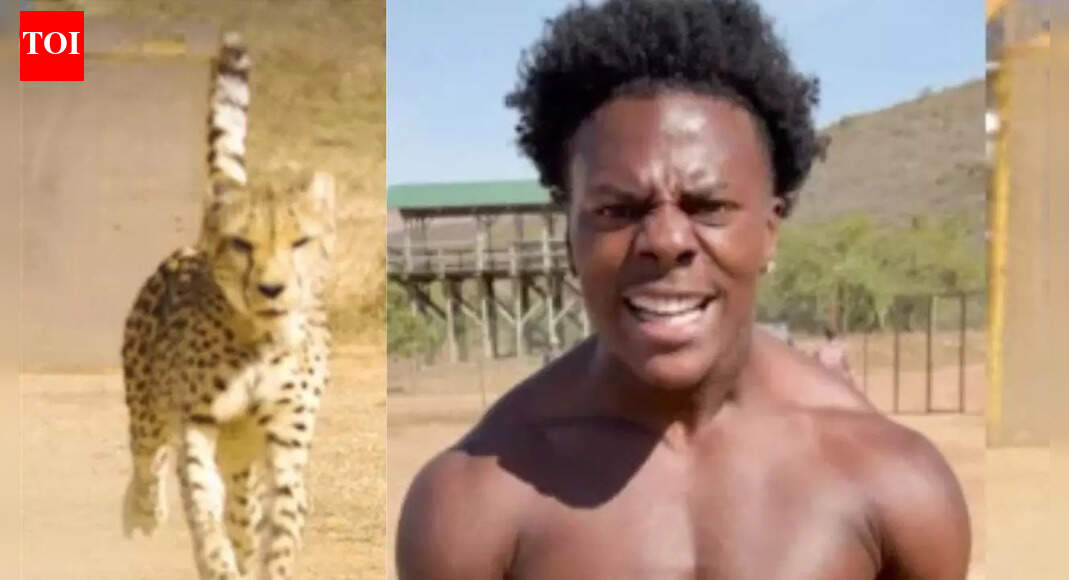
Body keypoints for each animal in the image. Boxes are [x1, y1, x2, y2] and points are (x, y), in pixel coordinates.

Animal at [120, 30, 336, 580]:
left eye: (300, 242)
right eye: (242, 244)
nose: (271, 289)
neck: (259, 341)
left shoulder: (285, 443)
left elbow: (280, 526)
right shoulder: (197, 422)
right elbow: (200, 504)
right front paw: (214, 559)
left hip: (242, 460)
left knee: (242, 511)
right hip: (149, 409)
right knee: (147, 462)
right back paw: (141, 511)